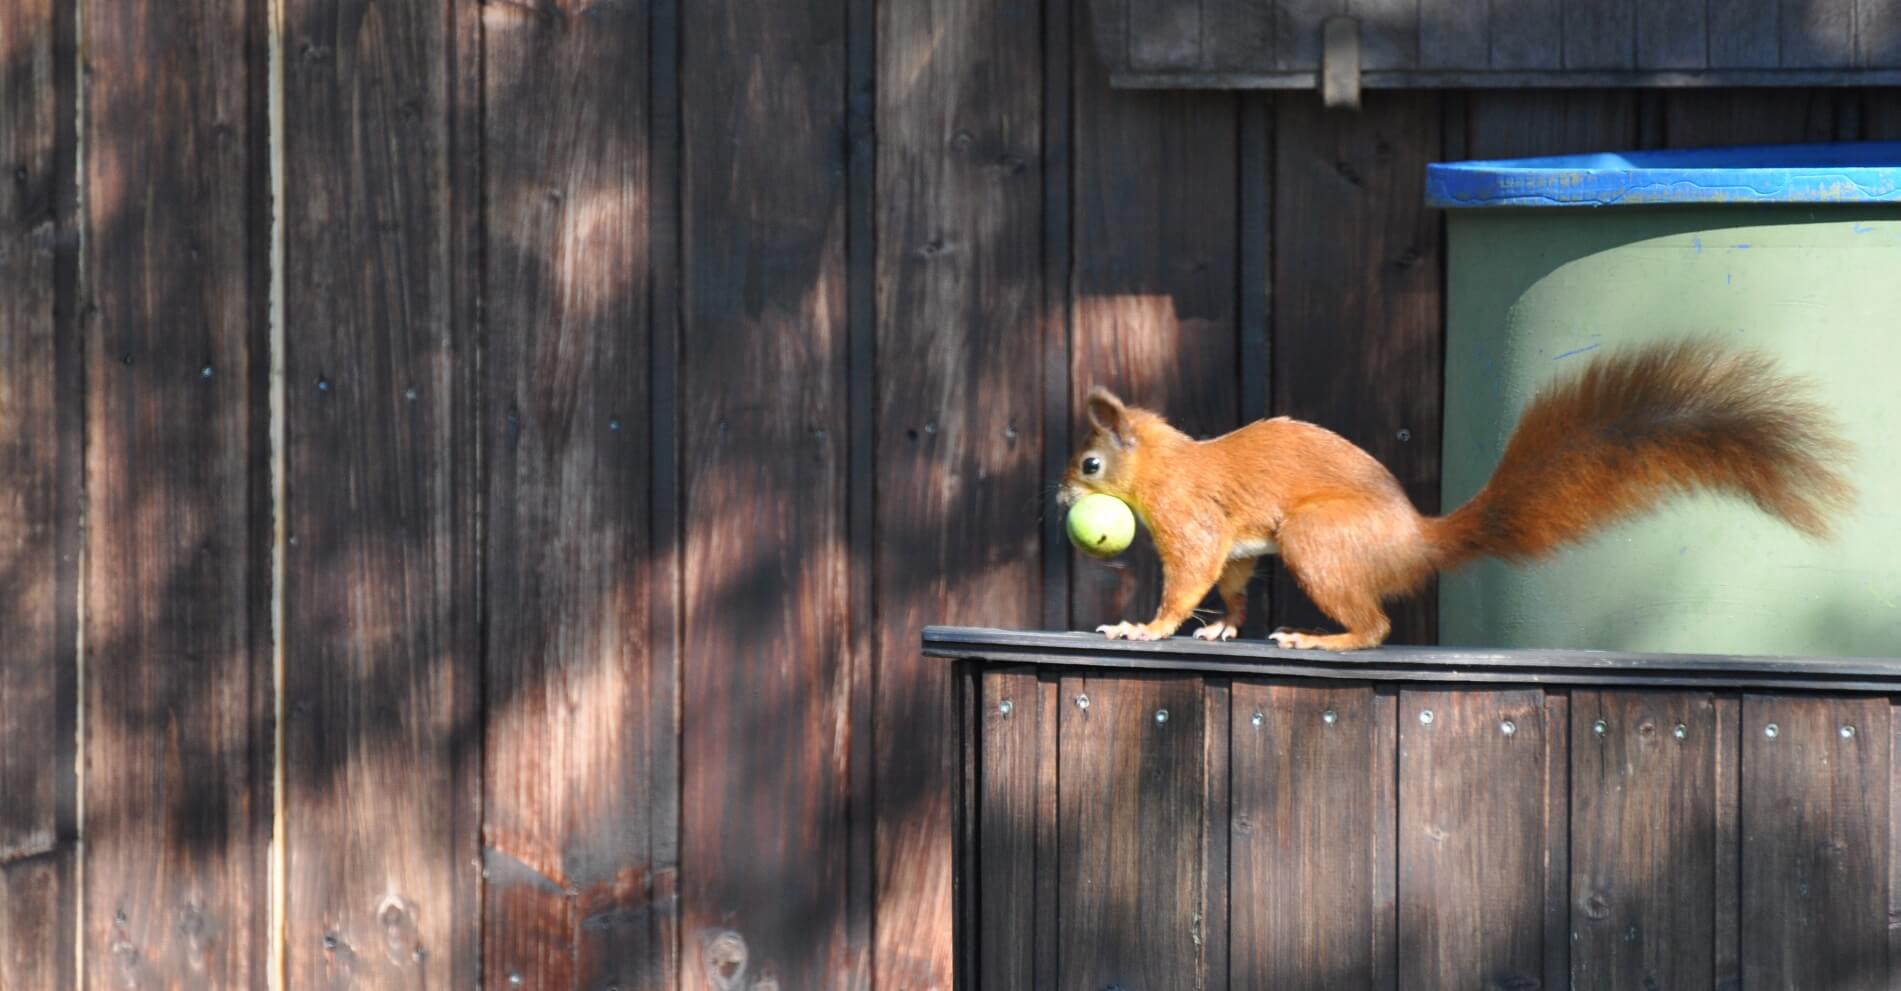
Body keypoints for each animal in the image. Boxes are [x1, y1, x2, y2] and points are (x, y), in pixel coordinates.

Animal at [1072, 340, 1855, 650]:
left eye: (1088, 463)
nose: (1059, 496)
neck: (1166, 465)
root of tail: (1417, 540)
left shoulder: (1189, 521)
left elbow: (1187, 579)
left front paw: (1142, 628)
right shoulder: (1233, 543)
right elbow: (1231, 580)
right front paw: (1225, 627)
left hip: (1316, 539)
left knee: (1376, 626)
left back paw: (1321, 637)